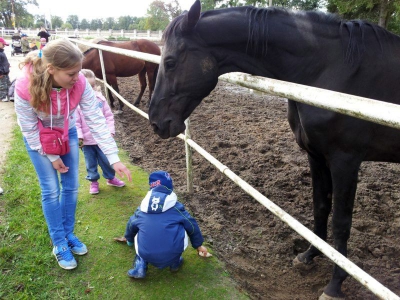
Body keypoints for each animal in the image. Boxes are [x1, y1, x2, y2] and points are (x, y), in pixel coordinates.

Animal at [149, 1, 400, 298]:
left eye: (170, 62)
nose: (156, 122)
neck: (329, 67)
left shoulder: (345, 161)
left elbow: (341, 221)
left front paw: (335, 284)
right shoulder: (316, 156)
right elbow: (320, 206)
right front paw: (309, 255)